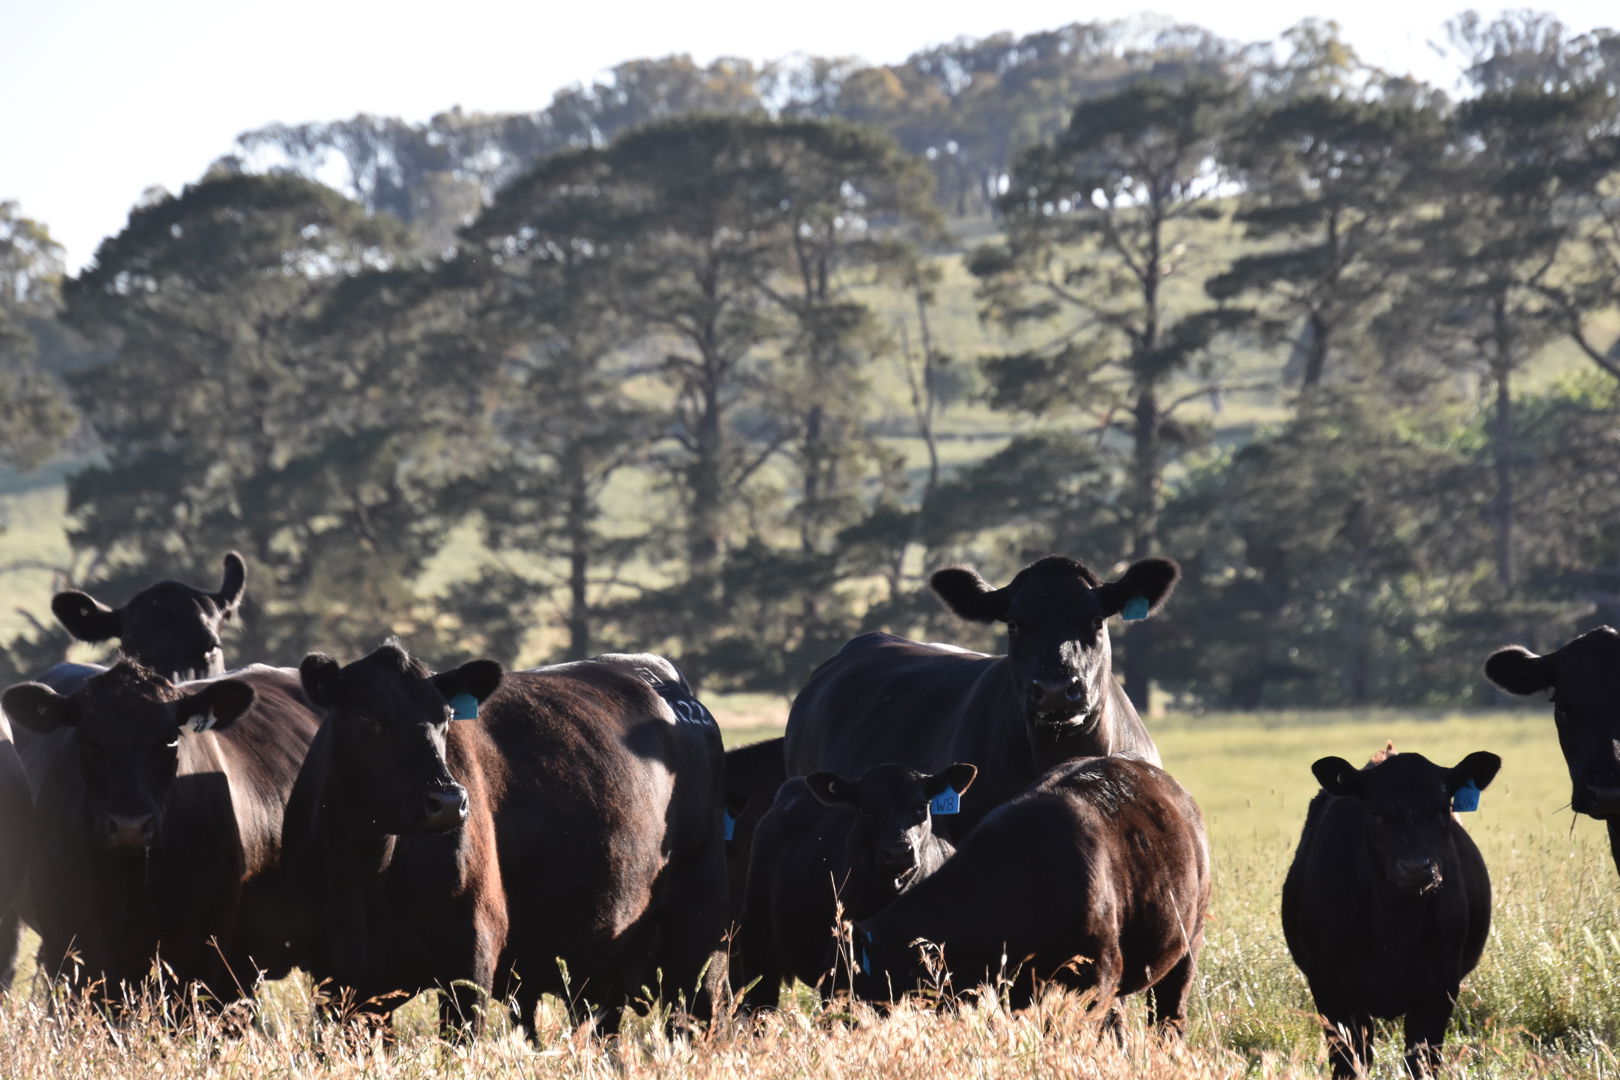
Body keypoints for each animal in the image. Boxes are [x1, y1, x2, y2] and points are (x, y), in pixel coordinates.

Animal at [1282, 744, 1500, 1078]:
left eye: (1442, 808)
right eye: (1376, 811)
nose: (1416, 867)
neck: (1395, 926)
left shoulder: (1439, 989)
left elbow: (1422, 1061)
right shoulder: (1329, 988)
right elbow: (1348, 1062)